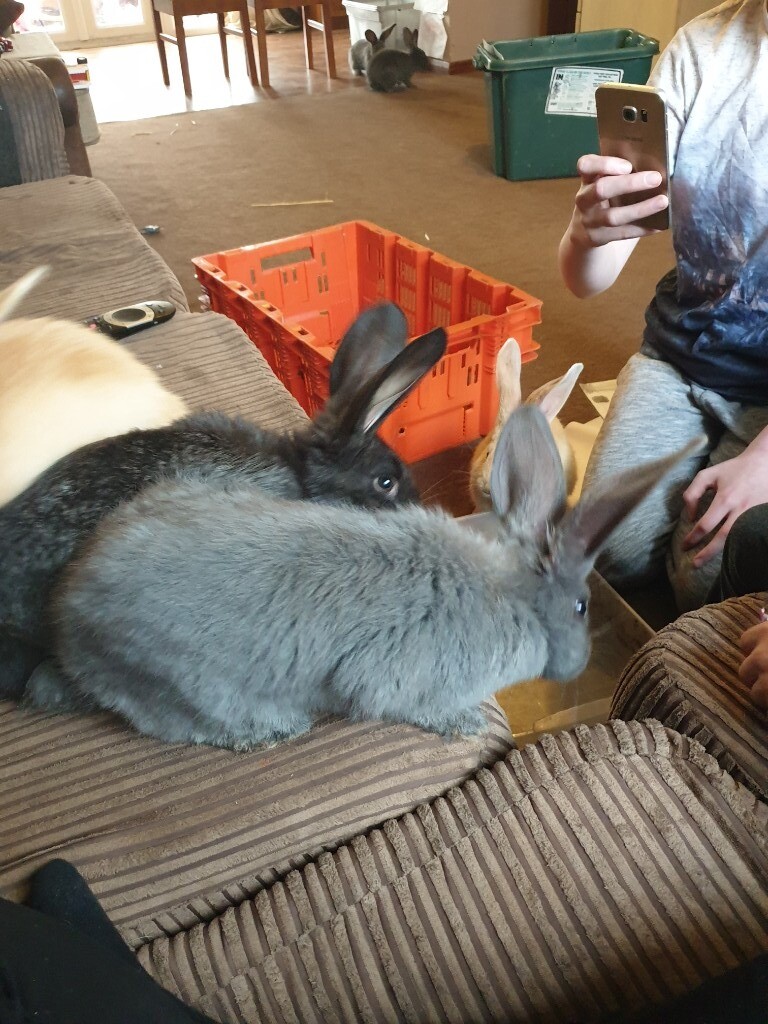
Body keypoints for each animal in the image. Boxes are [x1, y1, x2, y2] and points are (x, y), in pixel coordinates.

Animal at [34, 406, 701, 750]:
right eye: (584, 606)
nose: (579, 663)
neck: (513, 595)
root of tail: (65, 608)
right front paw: (464, 726)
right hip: (182, 685)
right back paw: (271, 729)